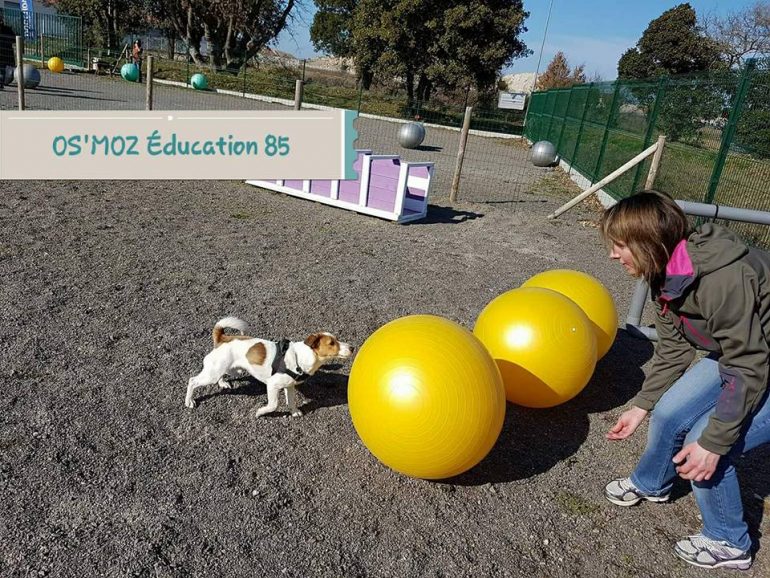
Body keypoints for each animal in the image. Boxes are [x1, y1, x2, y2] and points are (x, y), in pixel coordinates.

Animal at [186, 316, 354, 414]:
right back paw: (189, 401)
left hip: (228, 369)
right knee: (192, 381)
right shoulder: (272, 385)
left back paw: (223, 383)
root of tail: (222, 338)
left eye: (336, 339)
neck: (300, 357)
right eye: (332, 343)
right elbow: (273, 405)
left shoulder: (289, 386)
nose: (352, 347)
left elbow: (291, 401)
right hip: (211, 374)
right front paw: (260, 412)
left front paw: (294, 412)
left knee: (222, 375)